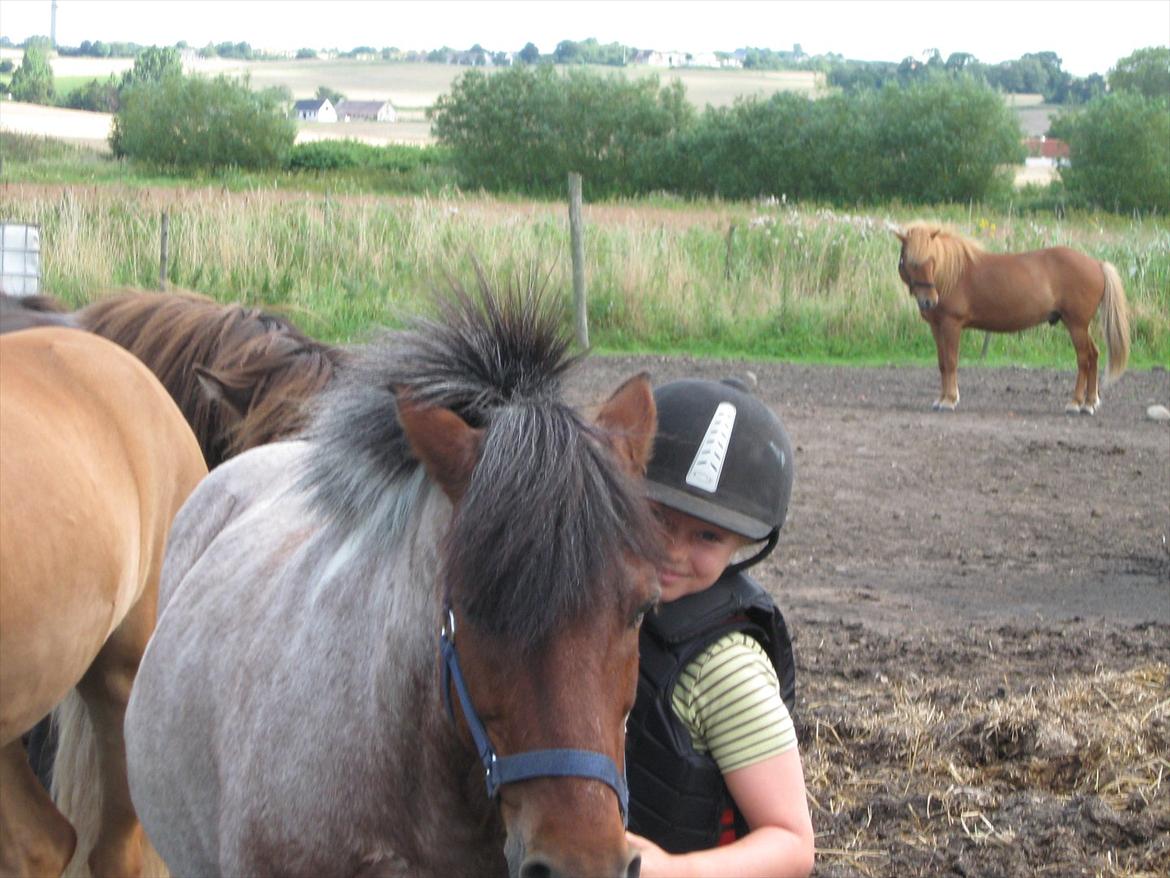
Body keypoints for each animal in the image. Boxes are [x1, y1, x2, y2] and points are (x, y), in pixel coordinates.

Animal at [889, 220, 1127, 412]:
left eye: (932, 260)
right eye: (909, 261)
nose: (929, 301)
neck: (951, 275)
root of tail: (1097, 264)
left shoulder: (951, 325)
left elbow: (951, 361)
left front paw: (949, 400)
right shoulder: (936, 327)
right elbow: (941, 363)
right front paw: (941, 399)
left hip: (1076, 324)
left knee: (1084, 359)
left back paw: (1076, 403)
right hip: (1080, 326)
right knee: (1094, 355)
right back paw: (1090, 402)